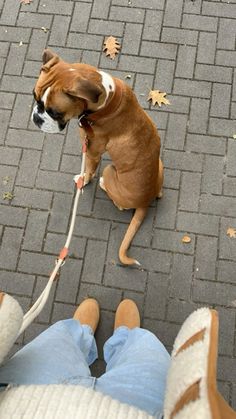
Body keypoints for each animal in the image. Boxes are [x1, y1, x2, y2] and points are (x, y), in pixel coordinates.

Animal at [32, 49, 163, 266]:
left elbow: (89, 170)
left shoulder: (92, 151)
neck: (107, 100)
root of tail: (145, 201)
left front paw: (83, 179)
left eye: (55, 112)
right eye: (34, 97)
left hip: (110, 171)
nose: (36, 118)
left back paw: (103, 184)